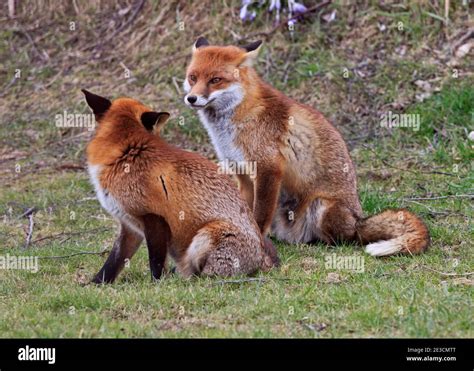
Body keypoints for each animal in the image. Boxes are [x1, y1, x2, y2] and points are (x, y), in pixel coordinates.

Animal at [84, 90, 280, 284]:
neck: (126, 153)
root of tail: (262, 256)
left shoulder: (154, 217)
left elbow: (156, 262)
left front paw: (157, 285)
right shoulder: (130, 224)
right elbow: (114, 262)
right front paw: (95, 284)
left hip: (205, 237)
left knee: (206, 276)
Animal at [182, 38, 430, 258]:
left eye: (215, 79)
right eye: (193, 77)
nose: (191, 98)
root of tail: (358, 219)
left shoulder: (268, 168)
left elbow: (259, 214)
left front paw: (257, 240)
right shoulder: (240, 171)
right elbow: (244, 211)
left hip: (321, 206)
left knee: (346, 239)